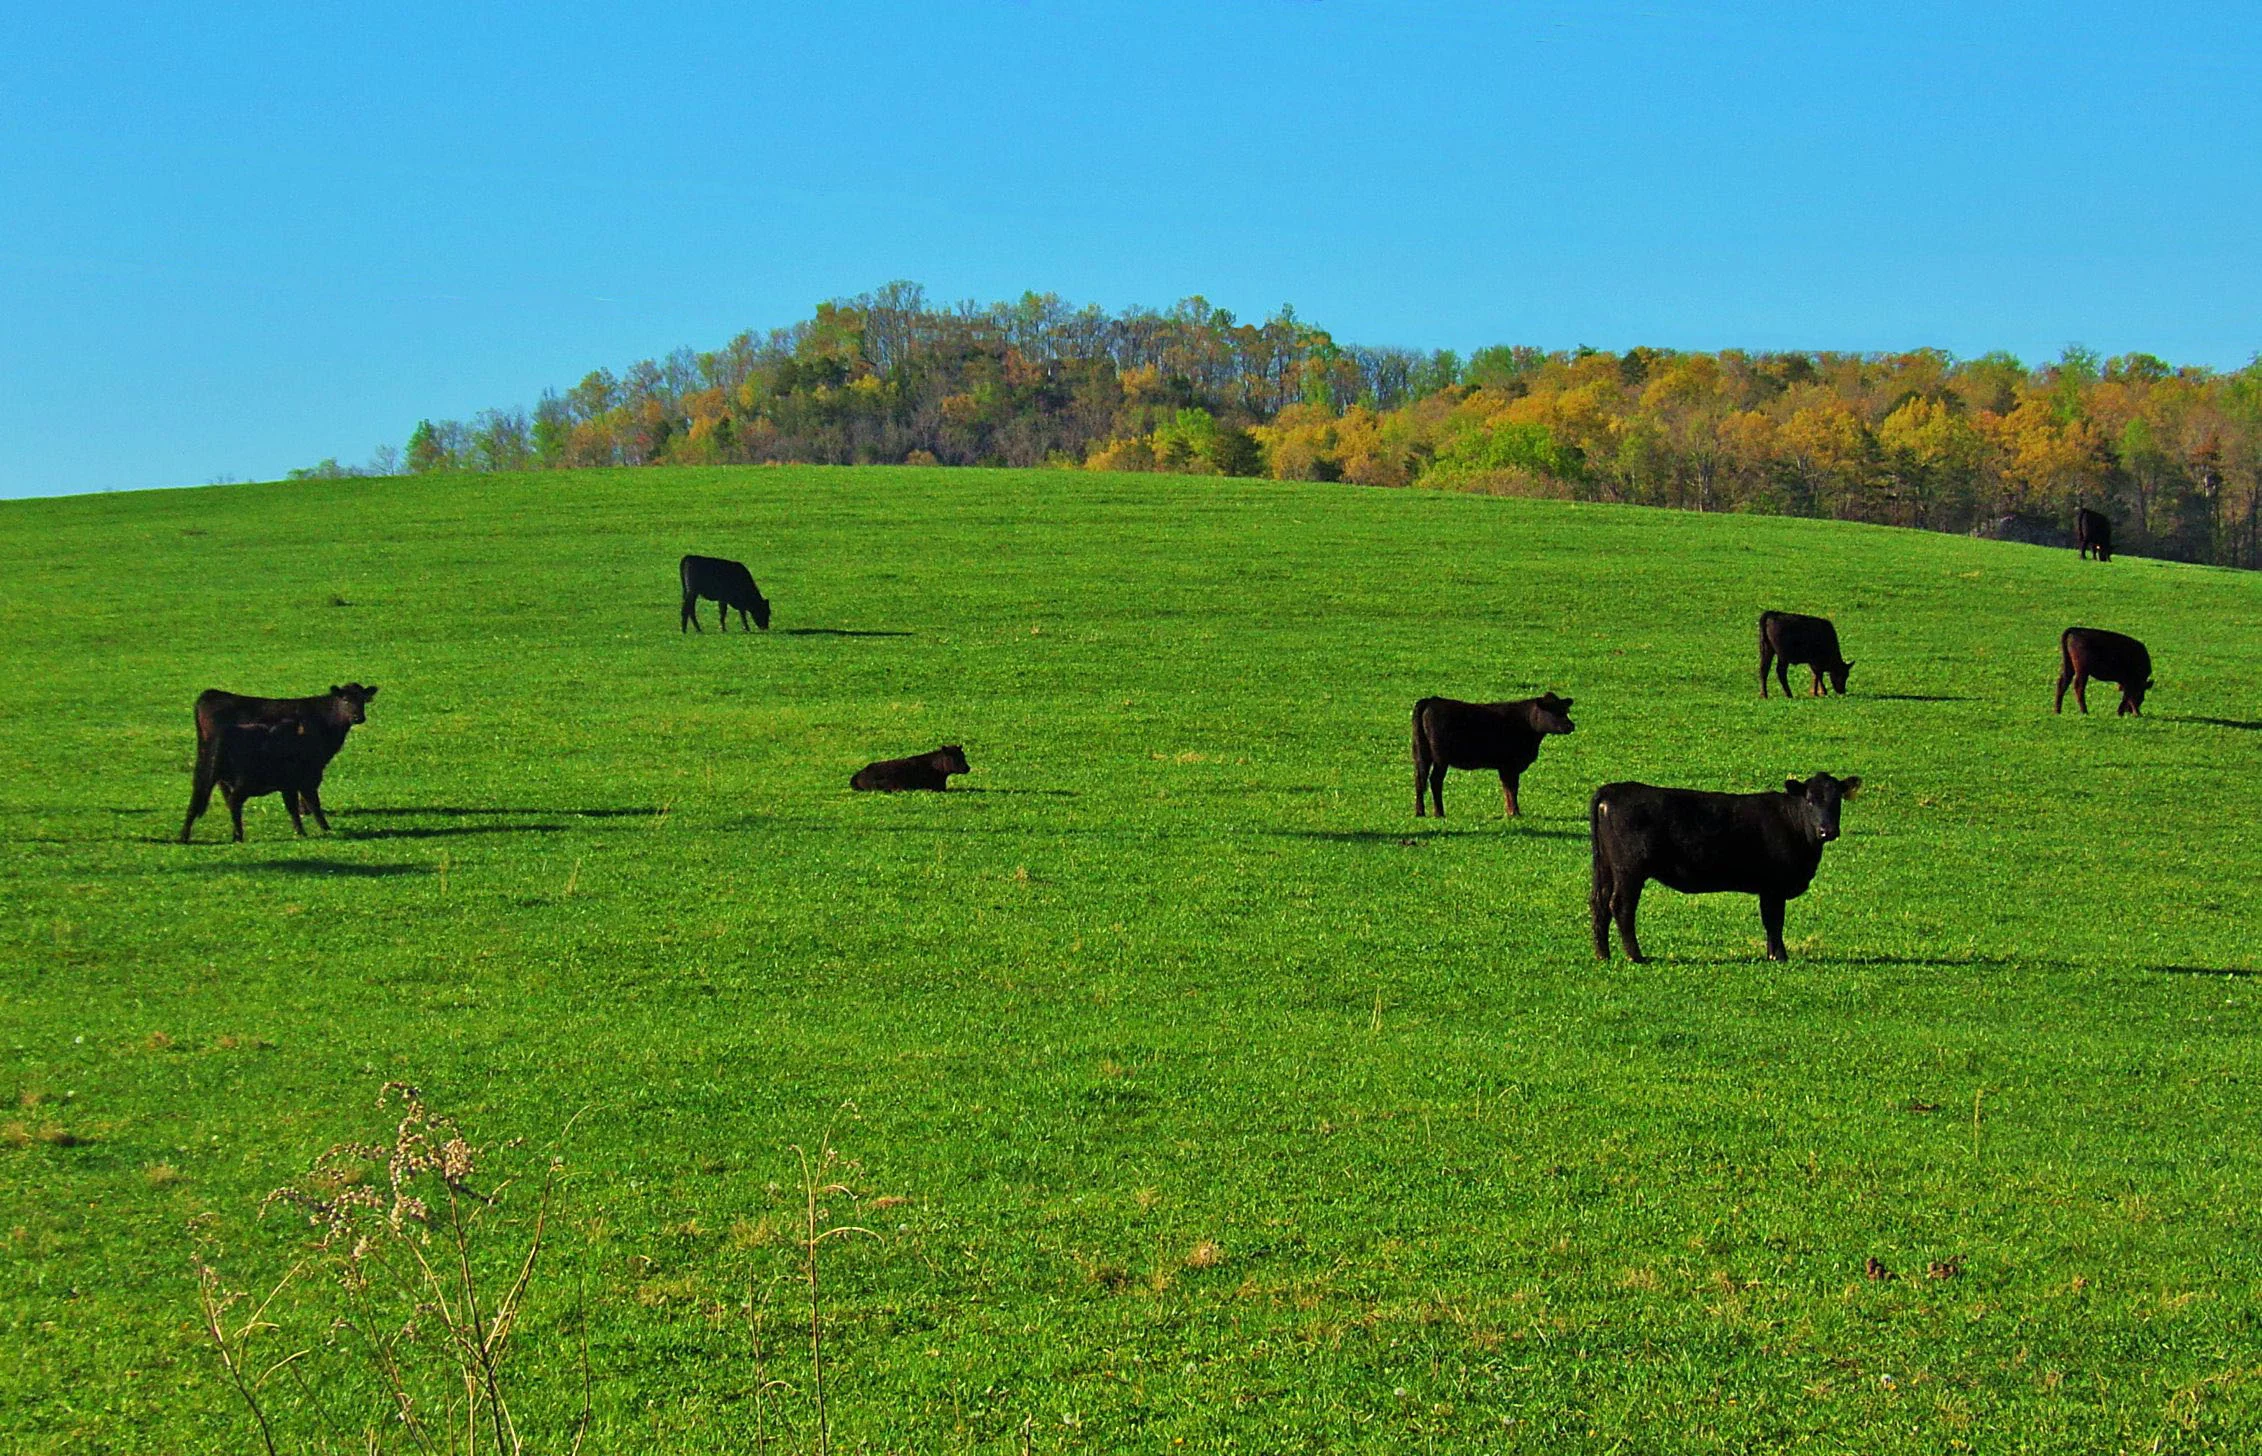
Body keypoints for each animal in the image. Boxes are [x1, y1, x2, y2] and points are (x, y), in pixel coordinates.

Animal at [1411, 692, 1575, 819]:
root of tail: (1432, 700)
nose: (1571, 726)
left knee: (1419, 779)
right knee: (1435, 780)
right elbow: (1512, 788)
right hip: (1440, 758)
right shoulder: (1510, 765)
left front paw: (1510, 811)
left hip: (1421, 753)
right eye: (1553, 710)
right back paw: (1439, 813)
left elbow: (1507, 788)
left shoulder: (1504, 767)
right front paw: (1515, 813)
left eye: (1565, 710)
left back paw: (1420, 812)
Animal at [1590, 773, 1861, 963]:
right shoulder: (1774, 886)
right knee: (1621, 906)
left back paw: (1604, 955)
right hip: (1630, 869)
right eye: (1810, 800)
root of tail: (1612, 789)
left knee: (1599, 903)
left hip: (1605, 867)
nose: (1827, 830)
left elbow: (1770, 921)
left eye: (1837, 801)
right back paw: (1636, 956)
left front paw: (1772, 955)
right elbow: (1774, 921)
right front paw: (1780, 957)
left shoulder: (1768, 889)